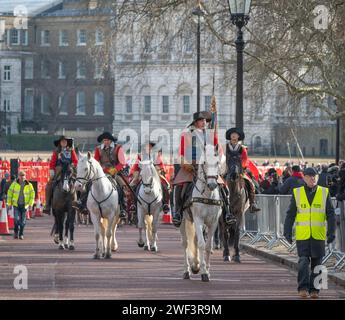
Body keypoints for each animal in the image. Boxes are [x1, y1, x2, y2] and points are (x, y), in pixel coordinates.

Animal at [180, 144, 223, 282]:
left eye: (217, 162)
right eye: (204, 162)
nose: (212, 184)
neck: (207, 195)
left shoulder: (213, 222)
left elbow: (208, 246)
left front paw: (207, 271)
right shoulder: (198, 219)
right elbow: (201, 244)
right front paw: (204, 272)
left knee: (194, 239)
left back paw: (195, 265)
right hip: (183, 221)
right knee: (185, 243)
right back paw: (187, 270)